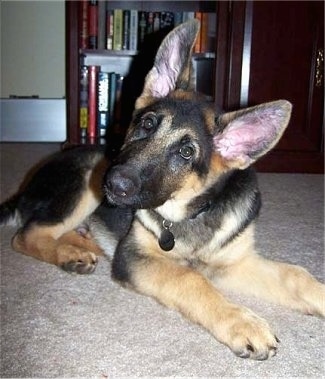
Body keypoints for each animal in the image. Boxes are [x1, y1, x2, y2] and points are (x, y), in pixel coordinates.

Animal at [0, 20, 324, 360]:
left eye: (186, 153)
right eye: (147, 124)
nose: (113, 184)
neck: (193, 212)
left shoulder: (233, 263)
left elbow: (296, 274)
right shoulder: (135, 258)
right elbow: (189, 277)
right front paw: (242, 323)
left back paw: (81, 246)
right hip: (85, 182)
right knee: (27, 235)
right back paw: (68, 252)